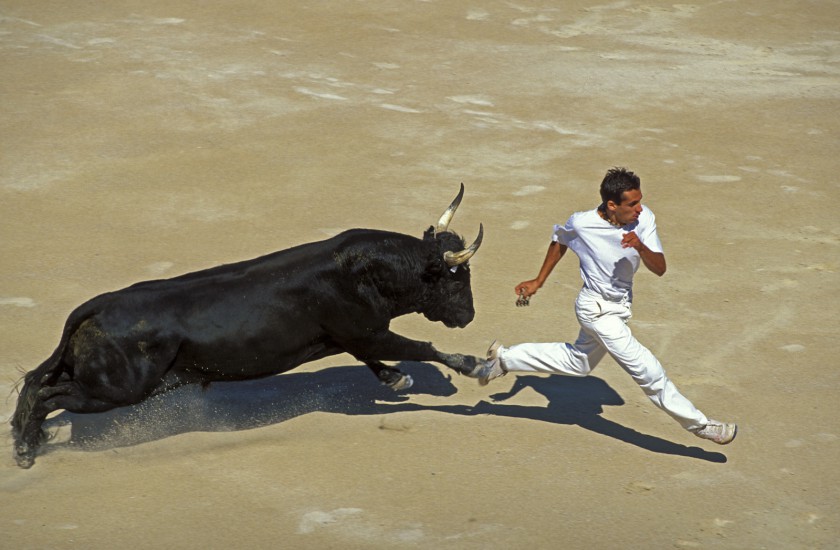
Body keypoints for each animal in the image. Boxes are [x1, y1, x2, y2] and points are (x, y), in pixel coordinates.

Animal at [11, 187, 486, 470]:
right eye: (457, 279)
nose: (468, 316)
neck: (363, 270)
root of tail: (92, 308)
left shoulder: (354, 336)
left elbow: (379, 356)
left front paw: (395, 378)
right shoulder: (366, 330)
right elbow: (421, 346)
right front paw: (473, 365)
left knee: (36, 383)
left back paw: (22, 438)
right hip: (117, 390)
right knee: (48, 394)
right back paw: (26, 450)